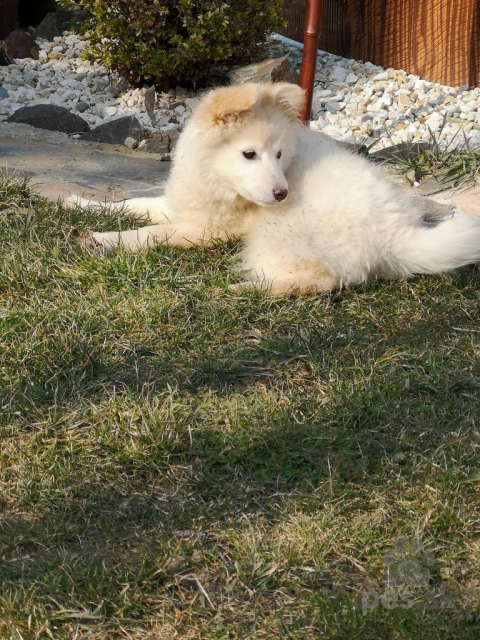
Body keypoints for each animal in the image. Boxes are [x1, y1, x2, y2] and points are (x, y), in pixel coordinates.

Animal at [70, 82, 480, 296]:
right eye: (249, 154)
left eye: (279, 154)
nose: (283, 194)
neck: (217, 181)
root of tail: (399, 238)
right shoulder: (189, 205)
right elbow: (134, 201)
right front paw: (79, 201)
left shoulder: (206, 229)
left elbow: (149, 234)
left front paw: (104, 240)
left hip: (277, 233)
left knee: (322, 279)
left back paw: (244, 288)